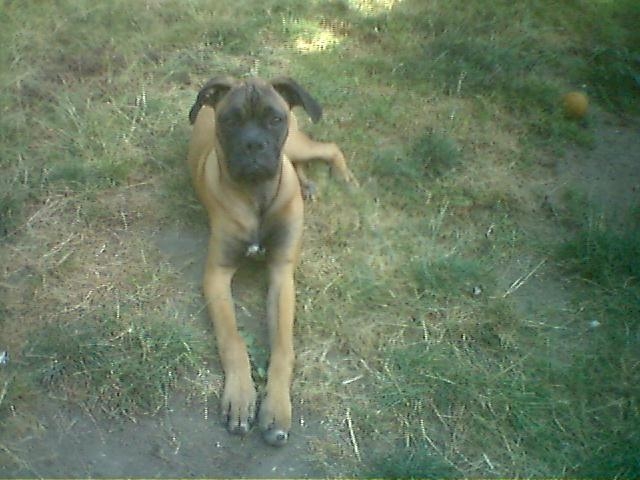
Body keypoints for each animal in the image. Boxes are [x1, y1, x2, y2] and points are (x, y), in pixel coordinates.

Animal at [187, 76, 356, 446]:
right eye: (231, 120)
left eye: (274, 119)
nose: (253, 146)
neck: (257, 196)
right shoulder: (217, 275)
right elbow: (233, 340)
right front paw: (240, 398)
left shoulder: (281, 275)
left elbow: (282, 348)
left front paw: (276, 407)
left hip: (295, 144)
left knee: (328, 148)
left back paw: (342, 178)